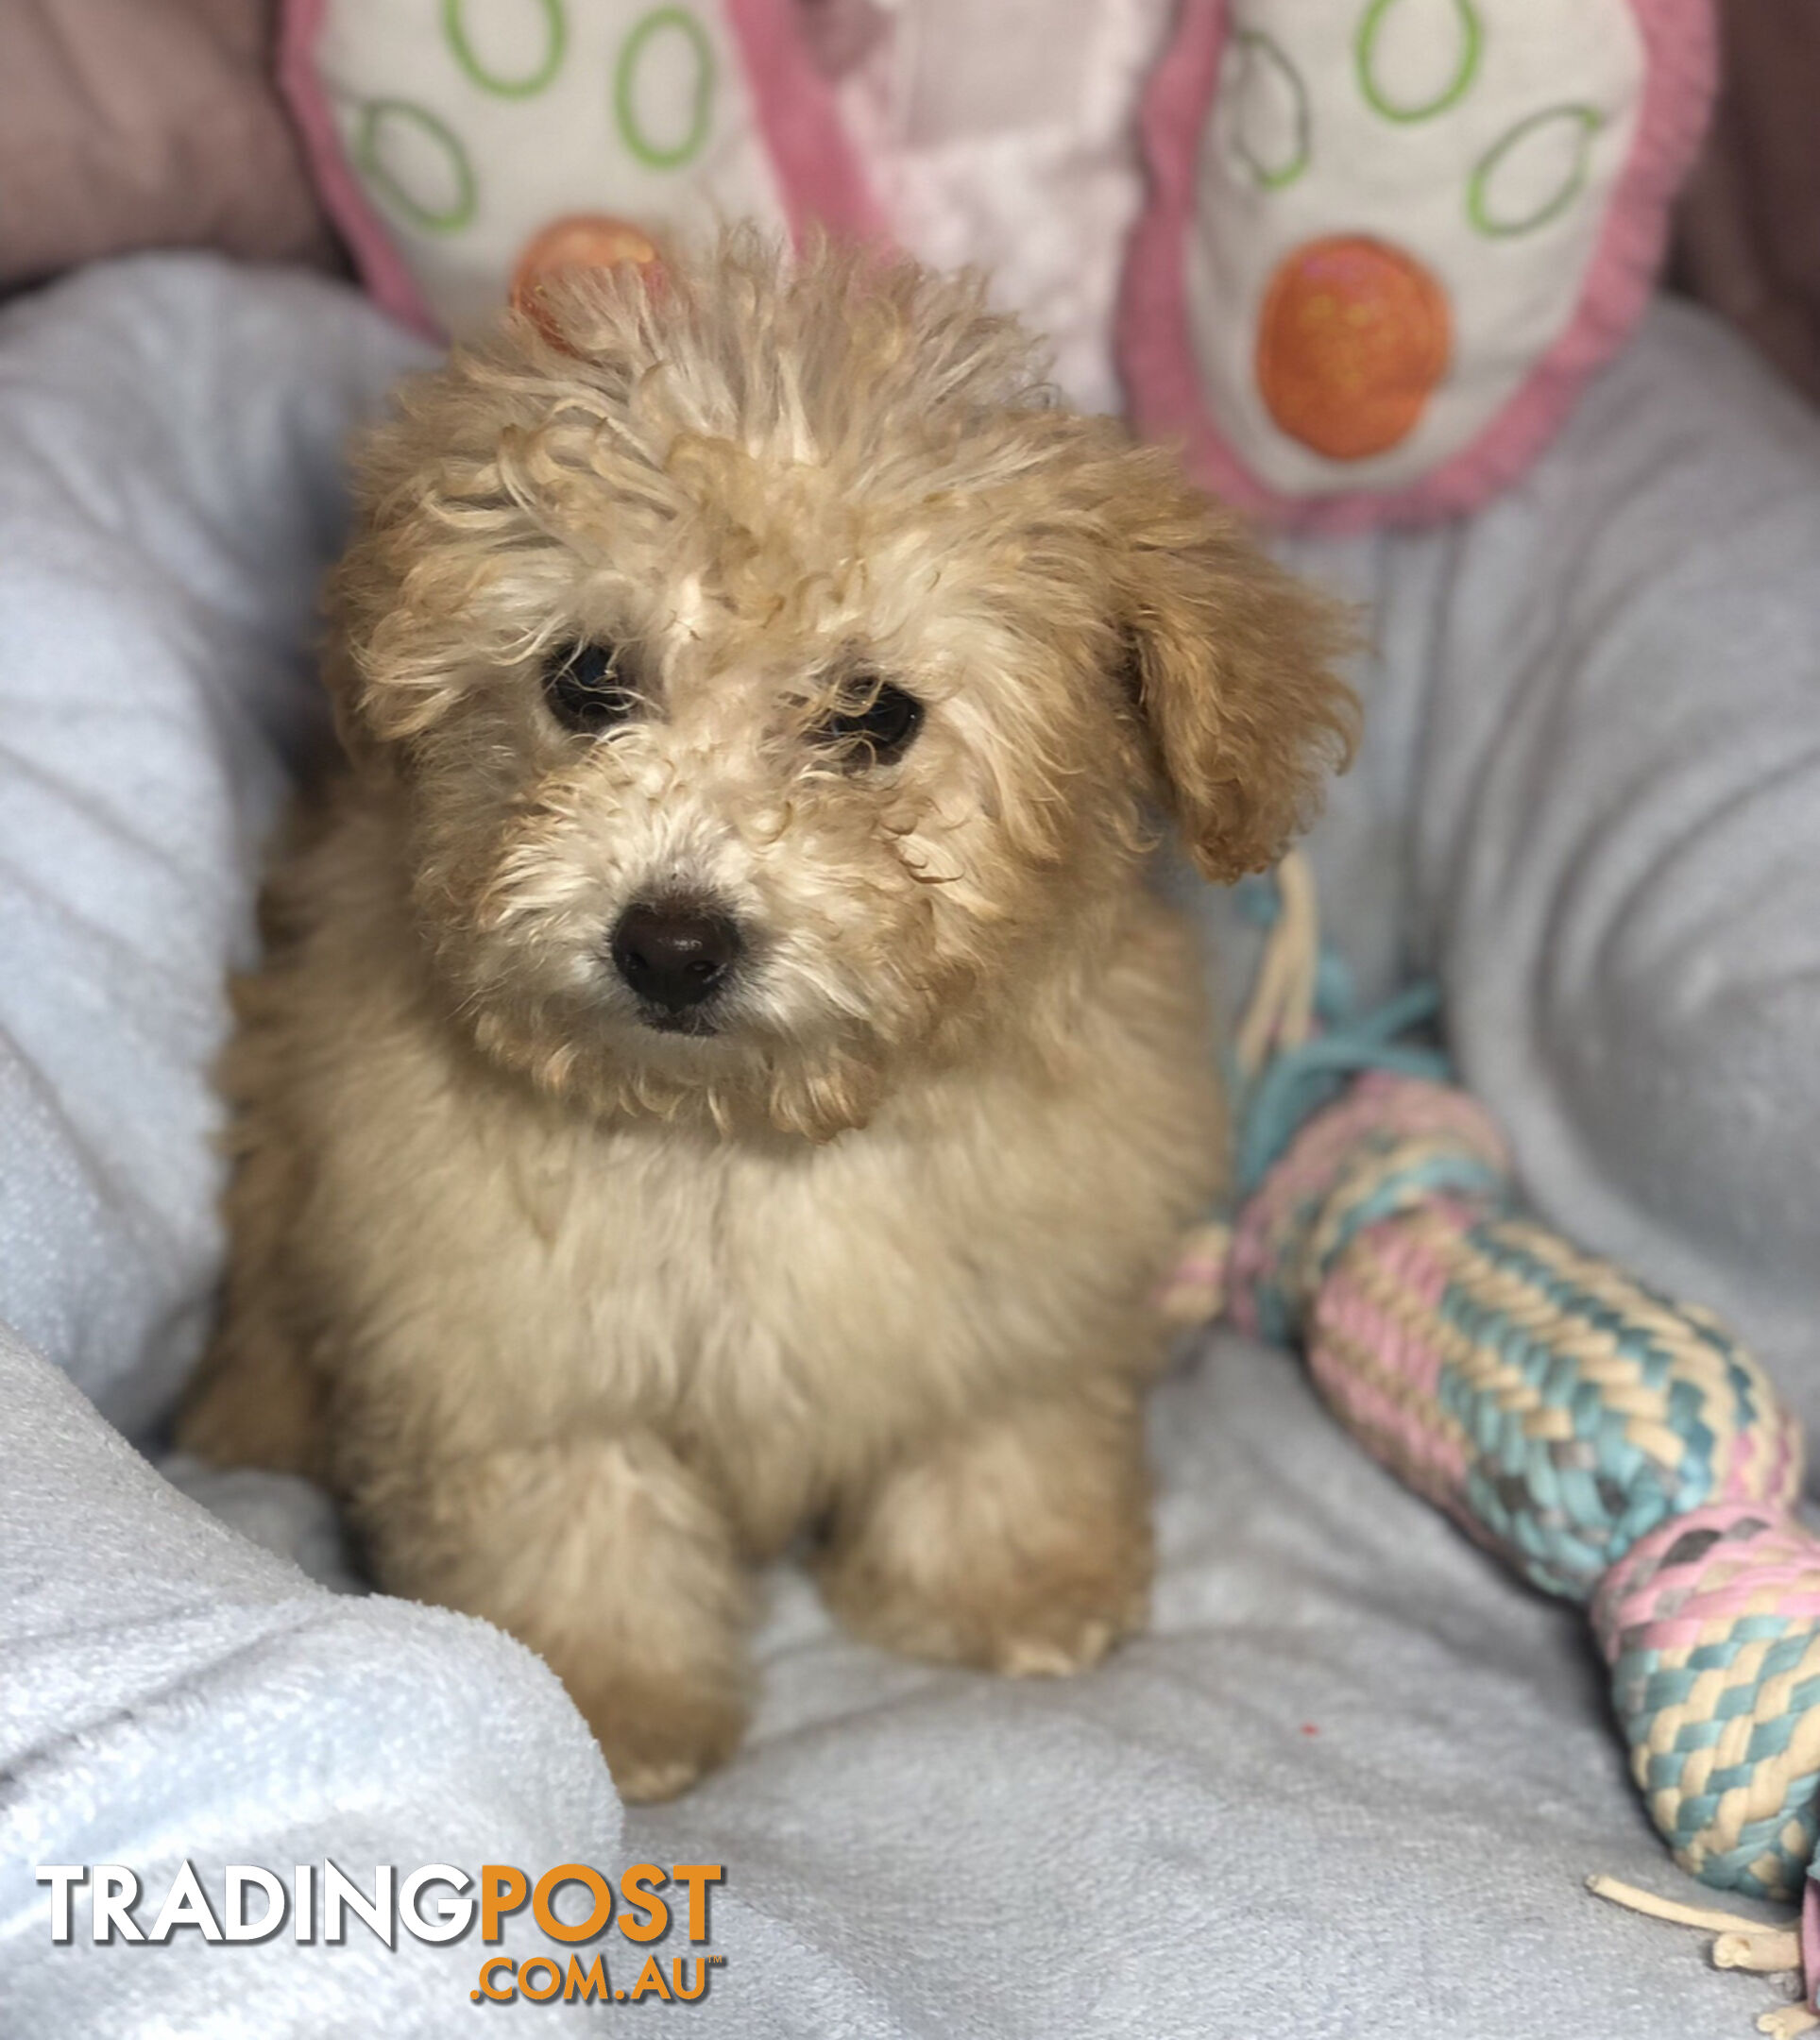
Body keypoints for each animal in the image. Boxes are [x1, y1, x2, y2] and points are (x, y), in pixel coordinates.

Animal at [181, 234, 1354, 1803]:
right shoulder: (501, 1341)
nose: (671, 943)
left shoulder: (1019, 1299)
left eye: (870, 714)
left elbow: (1000, 1434)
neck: (742, 1133)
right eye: (585, 678)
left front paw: (1008, 1591)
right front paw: (609, 1708)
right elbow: (577, 1520)